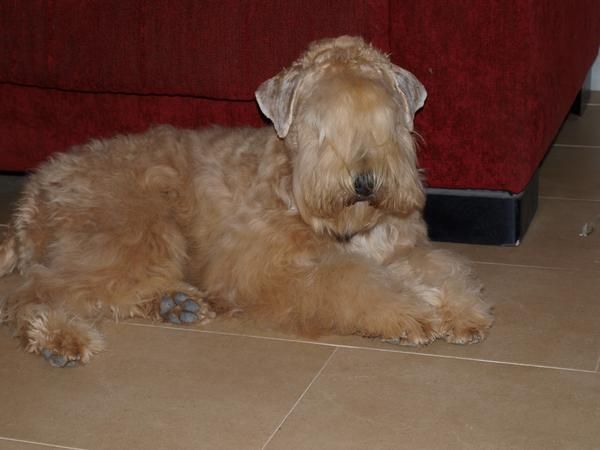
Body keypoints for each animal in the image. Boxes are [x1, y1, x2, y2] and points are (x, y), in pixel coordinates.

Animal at [0, 35, 492, 366]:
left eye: (384, 115)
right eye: (320, 122)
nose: (365, 182)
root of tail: (33, 193)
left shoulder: (401, 248)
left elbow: (439, 268)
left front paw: (462, 310)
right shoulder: (270, 268)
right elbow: (353, 282)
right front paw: (410, 313)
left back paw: (178, 304)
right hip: (133, 233)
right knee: (33, 291)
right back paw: (59, 337)